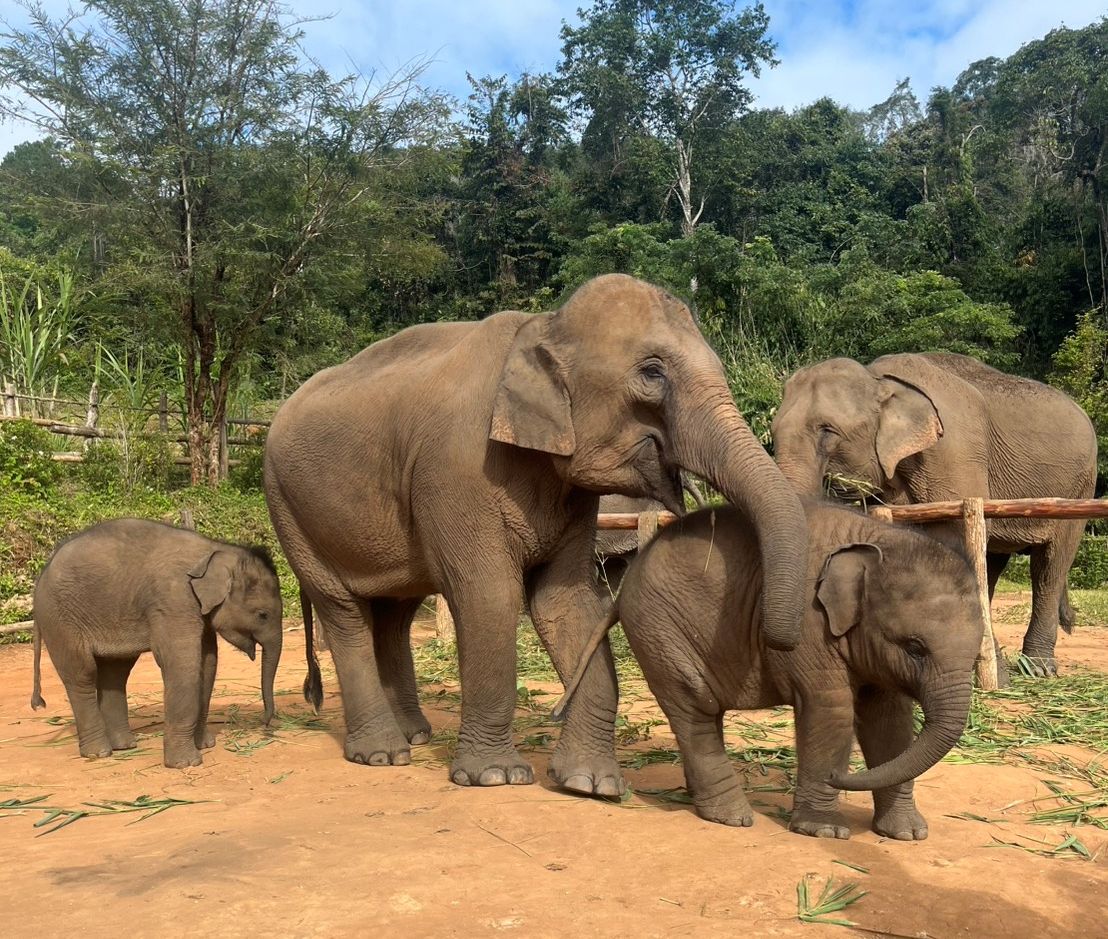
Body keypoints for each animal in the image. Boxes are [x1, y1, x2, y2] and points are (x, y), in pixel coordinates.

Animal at [31, 518, 284, 768]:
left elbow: (208, 663)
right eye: (262, 615)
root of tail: (41, 576)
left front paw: (205, 745)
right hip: (61, 619)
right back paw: (99, 753)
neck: (215, 548)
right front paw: (186, 763)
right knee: (82, 674)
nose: (265, 721)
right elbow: (182, 664)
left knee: (115, 672)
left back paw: (124, 746)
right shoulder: (173, 600)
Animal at [264, 273, 808, 796]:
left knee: (395, 611)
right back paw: (383, 753)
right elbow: (490, 596)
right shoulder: (456, 470)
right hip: (288, 506)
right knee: (343, 612)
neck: (543, 325)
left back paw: (415, 736)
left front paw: (593, 785)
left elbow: (566, 603)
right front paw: (494, 777)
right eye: (652, 374)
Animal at [554, 500, 985, 839]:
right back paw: (732, 818)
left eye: (978, 655)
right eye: (915, 648)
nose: (838, 777)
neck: (878, 541)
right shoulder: (808, 625)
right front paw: (824, 831)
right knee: (695, 706)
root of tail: (625, 584)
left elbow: (890, 719)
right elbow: (830, 710)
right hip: (659, 628)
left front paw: (908, 834)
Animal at [772, 353, 1097, 676]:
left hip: (1078, 491)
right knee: (993, 561)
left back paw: (1038, 669)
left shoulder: (954, 454)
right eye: (772, 432)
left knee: (1049, 567)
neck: (878, 378)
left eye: (827, 430)